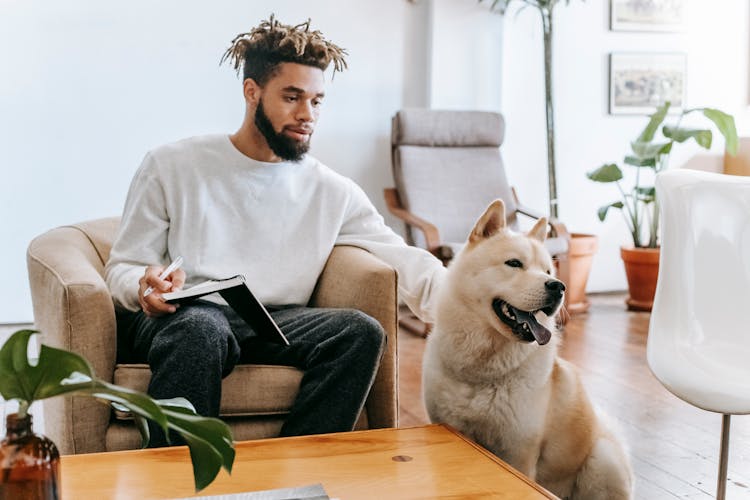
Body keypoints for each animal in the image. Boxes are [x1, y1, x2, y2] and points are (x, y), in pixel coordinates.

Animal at [424, 200, 636, 500]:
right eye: (514, 263)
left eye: (547, 271)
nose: (559, 287)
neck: (483, 369)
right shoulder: (452, 428)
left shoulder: (519, 452)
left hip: (602, 459)